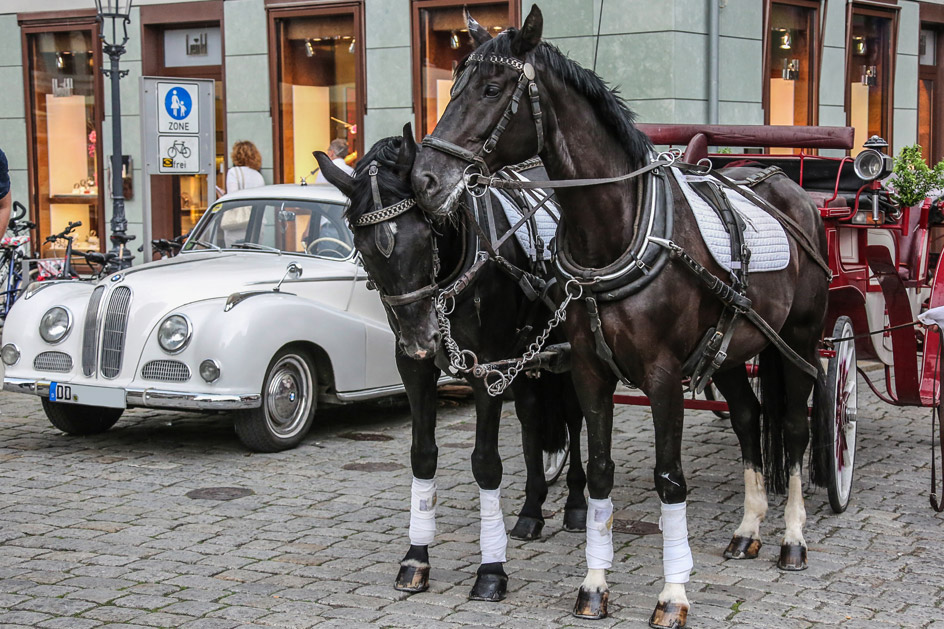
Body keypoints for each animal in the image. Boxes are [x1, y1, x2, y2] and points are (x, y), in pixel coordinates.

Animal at [314, 126, 588, 600]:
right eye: (364, 248)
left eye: (424, 238)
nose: (421, 337)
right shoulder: (415, 368)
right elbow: (422, 455)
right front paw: (416, 558)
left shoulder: (488, 367)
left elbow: (486, 464)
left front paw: (491, 569)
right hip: (527, 359)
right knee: (533, 419)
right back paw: (531, 512)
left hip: (566, 352)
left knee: (572, 414)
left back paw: (574, 506)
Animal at [410, 4, 828, 624]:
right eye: (454, 85)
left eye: (491, 88)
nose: (424, 180)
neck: (616, 230)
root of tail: (785, 185)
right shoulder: (590, 370)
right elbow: (601, 471)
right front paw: (594, 584)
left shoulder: (663, 376)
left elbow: (669, 479)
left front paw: (673, 594)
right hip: (731, 348)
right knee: (750, 418)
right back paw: (748, 529)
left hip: (798, 342)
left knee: (796, 428)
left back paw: (792, 540)